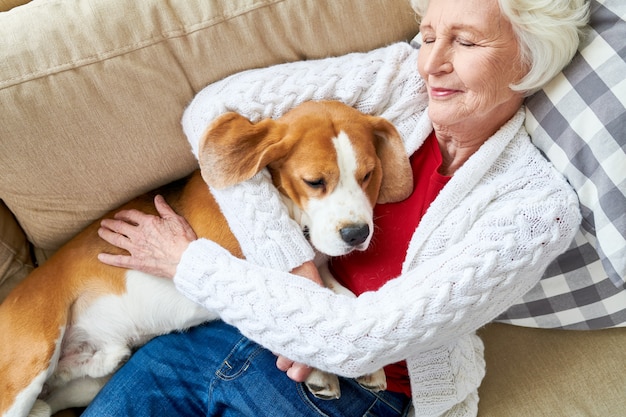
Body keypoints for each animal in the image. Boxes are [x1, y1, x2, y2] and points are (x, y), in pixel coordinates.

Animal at [0, 101, 412, 416]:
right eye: (314, 182)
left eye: (368, 175)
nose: (357, 234)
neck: (291, 212)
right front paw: (316, 373)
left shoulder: (315, 273)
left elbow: (343, 297)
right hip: (30, 362)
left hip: (84, 382)